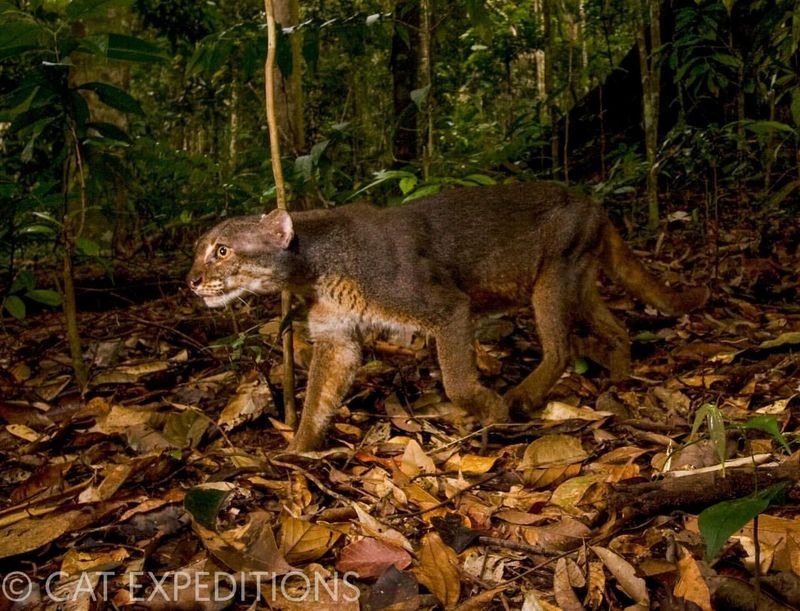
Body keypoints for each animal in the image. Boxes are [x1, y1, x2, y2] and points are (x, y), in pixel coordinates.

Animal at [189, 180, 708, 450]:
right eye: (199, 251)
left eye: (222, 251)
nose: (191, 280)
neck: (316, 267)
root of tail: (594, 203)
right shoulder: (337, 336)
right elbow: (318, 397)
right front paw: (297, 453)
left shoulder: (446, 308)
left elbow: (457, 382)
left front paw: (493, 411)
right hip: (577, 281)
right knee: (616, 327)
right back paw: (619, 376)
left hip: (552, 278)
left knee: (560, 348)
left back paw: (522, 397)